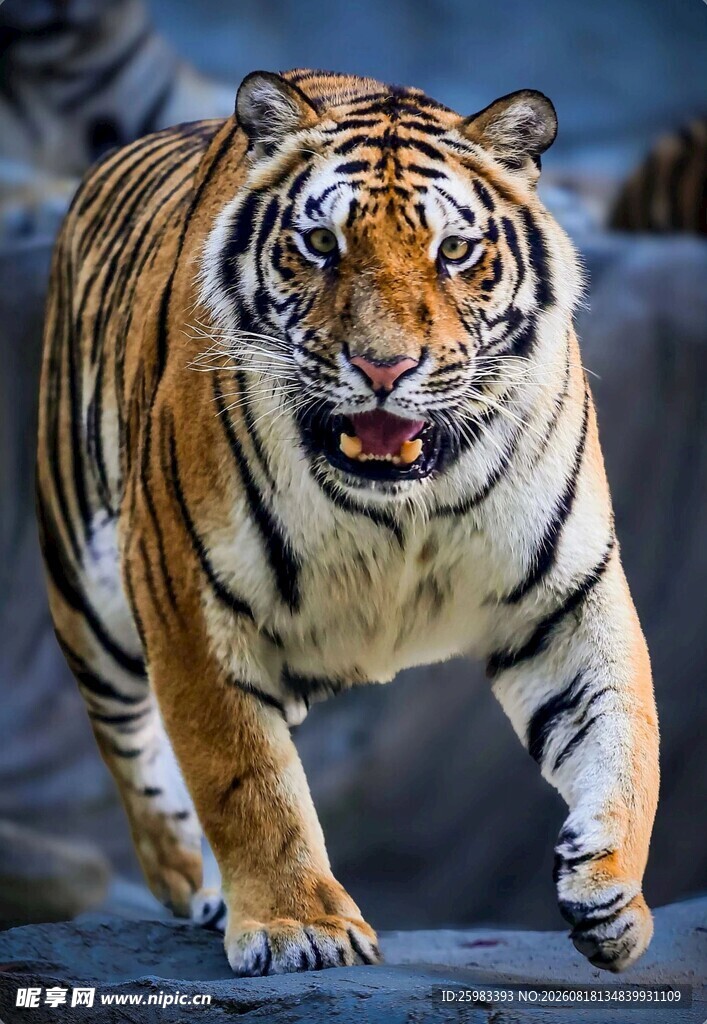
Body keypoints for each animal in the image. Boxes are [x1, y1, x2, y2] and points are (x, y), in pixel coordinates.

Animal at [36, 68, 660, 976]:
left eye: (453, 252)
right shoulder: (186, 595)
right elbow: (245, 774)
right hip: (91, 592)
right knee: (131, 746)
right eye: (321, 244)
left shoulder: (566, 595)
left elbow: (624, 731)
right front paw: (299, 924)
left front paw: (610, 893)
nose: (383, 367)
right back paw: (193, 880)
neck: (398, 508)